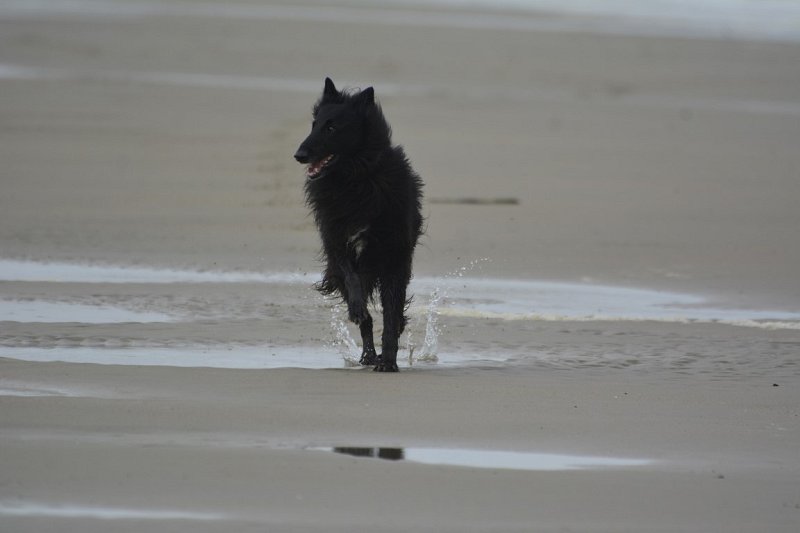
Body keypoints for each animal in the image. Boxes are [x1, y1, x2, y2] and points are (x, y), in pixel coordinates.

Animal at [296, 78, 424, 370]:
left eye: (331, 127)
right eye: (314, 124)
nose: (299, 154)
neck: (356, 180)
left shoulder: (394, 258)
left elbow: (391, 316)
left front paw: (388, 361)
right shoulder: (336, 244)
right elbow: (352, 280)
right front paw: (358, 311)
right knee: (366, 318)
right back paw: (367, 353)